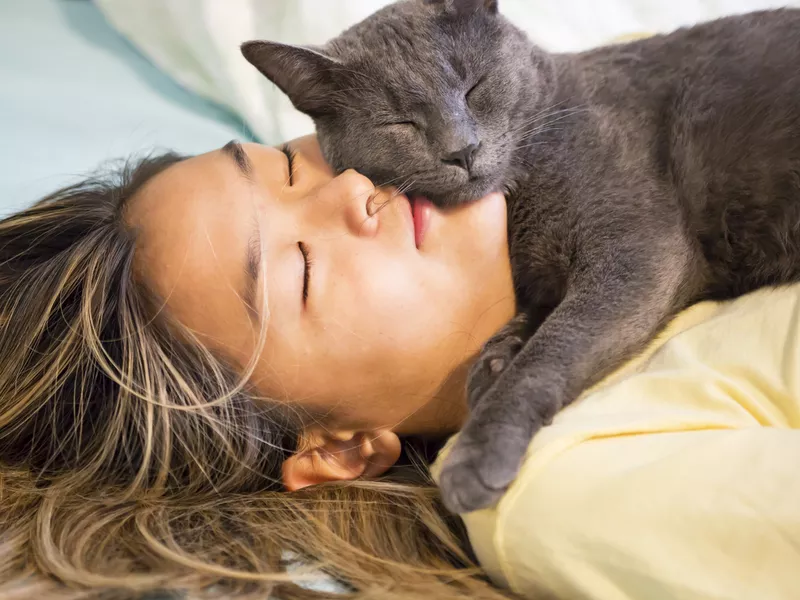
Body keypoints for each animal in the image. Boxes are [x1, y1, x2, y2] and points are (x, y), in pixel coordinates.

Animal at [241, 1, 800, 516]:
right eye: (398, 122)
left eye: (475, 86)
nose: (462, 149)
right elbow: (534, 315)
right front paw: (495, 357)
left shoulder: (637, 248)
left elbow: (553, 347)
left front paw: (477, 451)